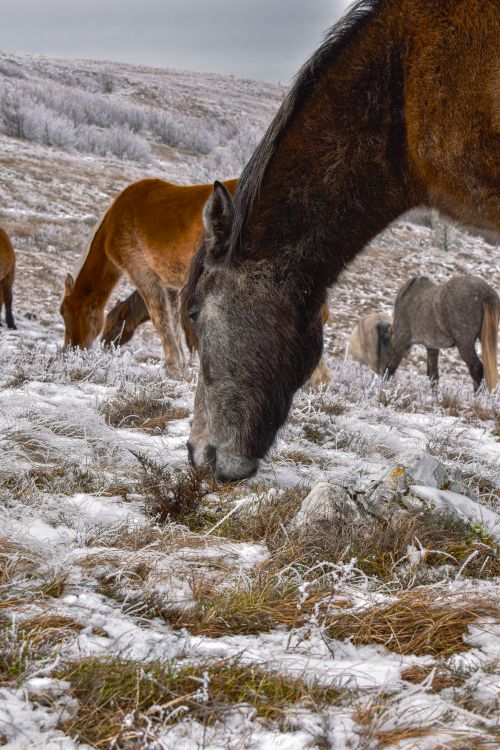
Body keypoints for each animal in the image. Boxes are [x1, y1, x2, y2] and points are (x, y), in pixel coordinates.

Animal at [60, 178, 238, 372]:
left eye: (63, 313)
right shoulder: (170, 287)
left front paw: (173, 366)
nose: (68, 351)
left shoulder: (144, 277)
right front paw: (182, 366)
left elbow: (161, 321)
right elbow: (174, 324)